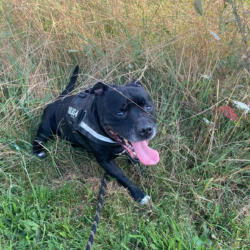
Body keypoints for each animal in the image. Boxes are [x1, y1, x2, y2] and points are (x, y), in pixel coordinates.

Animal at [33, 67, 159, 205]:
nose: (146, 129)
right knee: (37, 139)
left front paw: (145, 177)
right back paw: (38, 151)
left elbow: (136, 163)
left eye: (148, 107)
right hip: (45, 129)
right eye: (119, 113)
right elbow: (123, 177)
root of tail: (57, 100)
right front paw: (140, 194)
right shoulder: (105, 161)